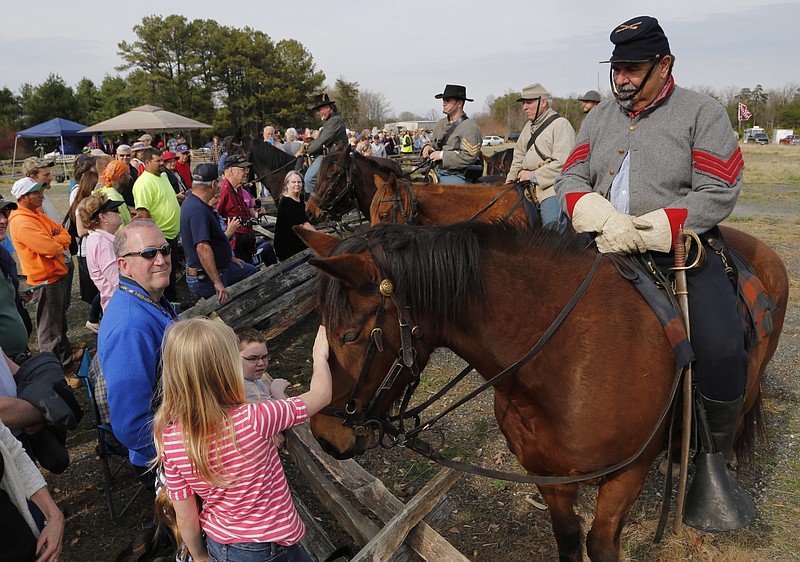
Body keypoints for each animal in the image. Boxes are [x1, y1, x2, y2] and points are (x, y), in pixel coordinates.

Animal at [298, 221, 788, 556]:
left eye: (350, 335)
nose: (325, 435)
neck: (566, 360)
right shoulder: (547, 474)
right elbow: (568, 539)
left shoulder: (627, 474)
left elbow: (600, 544)